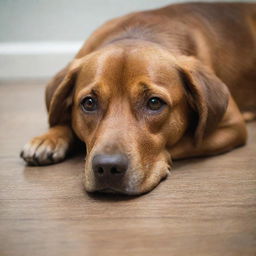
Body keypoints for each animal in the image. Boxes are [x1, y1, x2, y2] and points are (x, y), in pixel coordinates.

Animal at [20, 3, 256, 194]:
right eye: (88, 103)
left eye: (154, 103)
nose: (107, 167)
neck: (139, 32)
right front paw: (49, 137)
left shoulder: (232, 125)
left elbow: (184, 142)